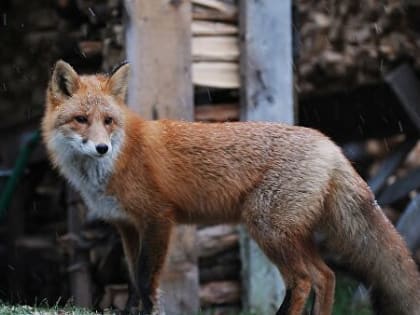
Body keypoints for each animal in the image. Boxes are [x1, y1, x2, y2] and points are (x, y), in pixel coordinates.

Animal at [41, 59, 420, 315]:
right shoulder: (127, 226)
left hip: (267, 228)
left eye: (108, 121)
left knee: (302, 280)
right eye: (81, 120)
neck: (115, 161)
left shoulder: (158, 218)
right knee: (326, 276)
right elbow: (134, 278)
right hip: (291, 233)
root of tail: (329, 143)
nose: (101, 148)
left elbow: (148, 279)